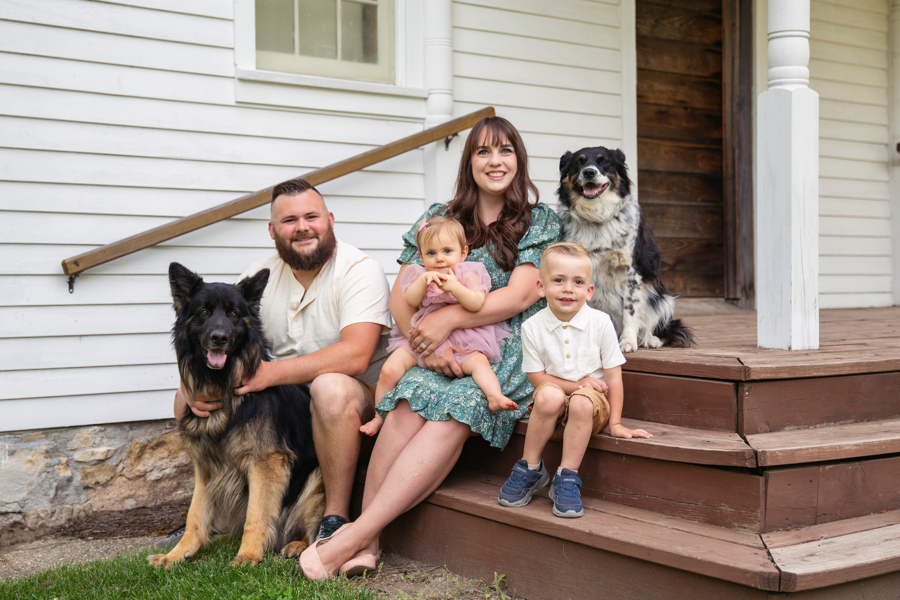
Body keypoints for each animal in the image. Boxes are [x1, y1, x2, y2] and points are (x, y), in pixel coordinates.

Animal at [149, 262, 326, 568]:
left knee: (310, 527)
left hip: (315, 479)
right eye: (204, 312)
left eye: (233, 314)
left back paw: (298, 544)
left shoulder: (265, 462)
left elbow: (255, 516)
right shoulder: (206, 467)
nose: (219, 338)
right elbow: (195, 516)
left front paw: (248, 555)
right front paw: (177, 554)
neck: (223, 389)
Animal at [556, 147, 696, 352]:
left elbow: (630, 309)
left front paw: (628, 341)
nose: (589, 172)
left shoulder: (632, 273)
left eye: (604, 161)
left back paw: (650, 340)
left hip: (662, 298)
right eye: (578, 162)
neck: (597, 218)